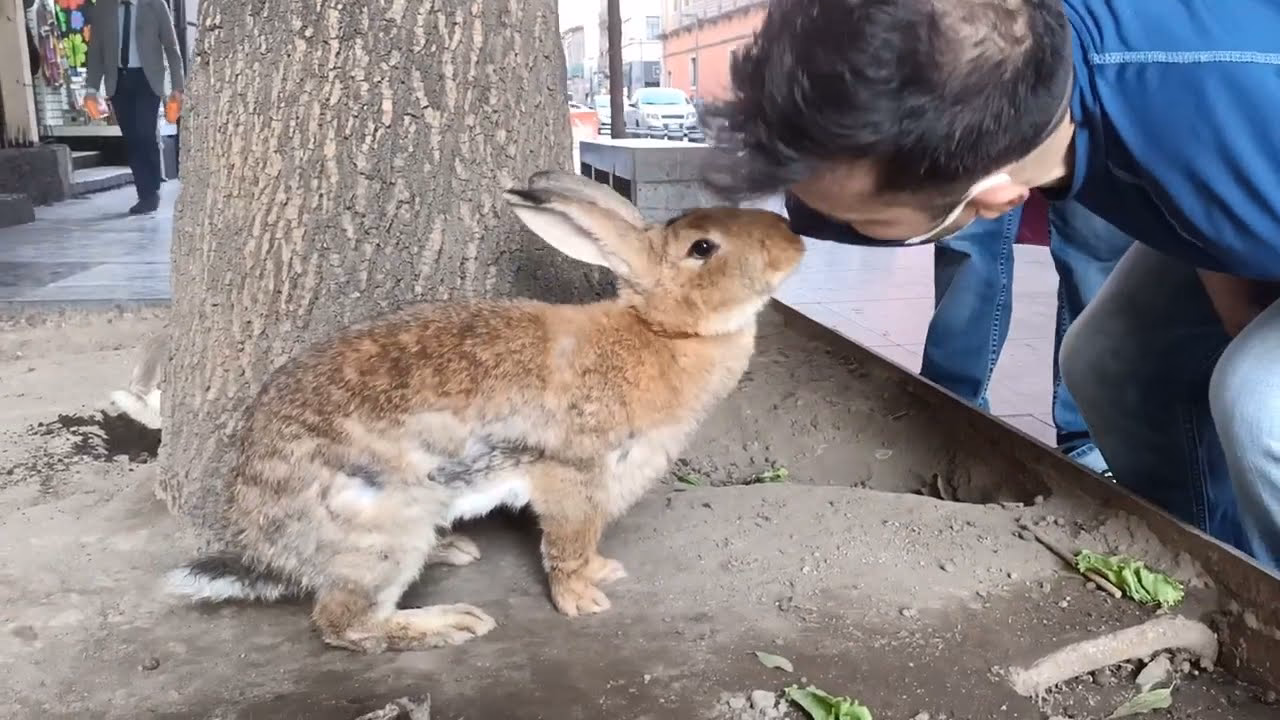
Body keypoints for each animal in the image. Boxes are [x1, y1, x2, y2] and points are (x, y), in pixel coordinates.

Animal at [163, 170, 806, 653]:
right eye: (703, 248)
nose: (794, 242)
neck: (663, 331)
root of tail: (263, 542)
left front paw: (604, 571)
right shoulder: (574, 474)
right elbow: (566, 545)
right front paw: (583, 601)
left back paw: (452, 550)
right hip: (384, 526)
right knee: (345, 623)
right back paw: (450, 622)